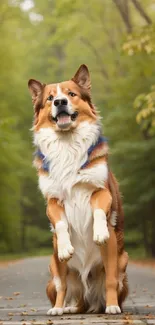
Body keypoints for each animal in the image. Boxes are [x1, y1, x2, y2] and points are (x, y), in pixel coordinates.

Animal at [27, 63, 128, 314]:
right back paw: (62, 308)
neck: (67, 144)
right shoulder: (53, 201)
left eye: (71, 94)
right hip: (55, 266)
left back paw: (110, 306)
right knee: (64, 287)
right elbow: (62, 224)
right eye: (50, 98)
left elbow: (99, 210)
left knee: (109, 282)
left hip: (119, 259)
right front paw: (66, 246)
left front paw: (99, 231)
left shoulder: (101, 190)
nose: (60, 102)